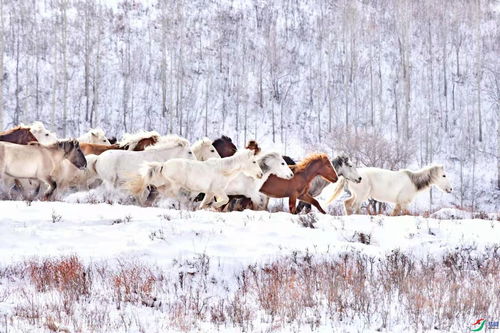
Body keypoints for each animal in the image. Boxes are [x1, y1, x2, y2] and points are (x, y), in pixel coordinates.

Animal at [127, 148, 264, 208]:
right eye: (253, 162)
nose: (261, 174)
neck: (223, 170)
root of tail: (164, 165)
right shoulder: (218, 190)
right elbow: (224, 200)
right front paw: (214, 205)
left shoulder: (210, 192)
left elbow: (204, 204)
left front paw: (206, 206)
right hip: (174, 185)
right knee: (170, 194)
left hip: (162, 183)